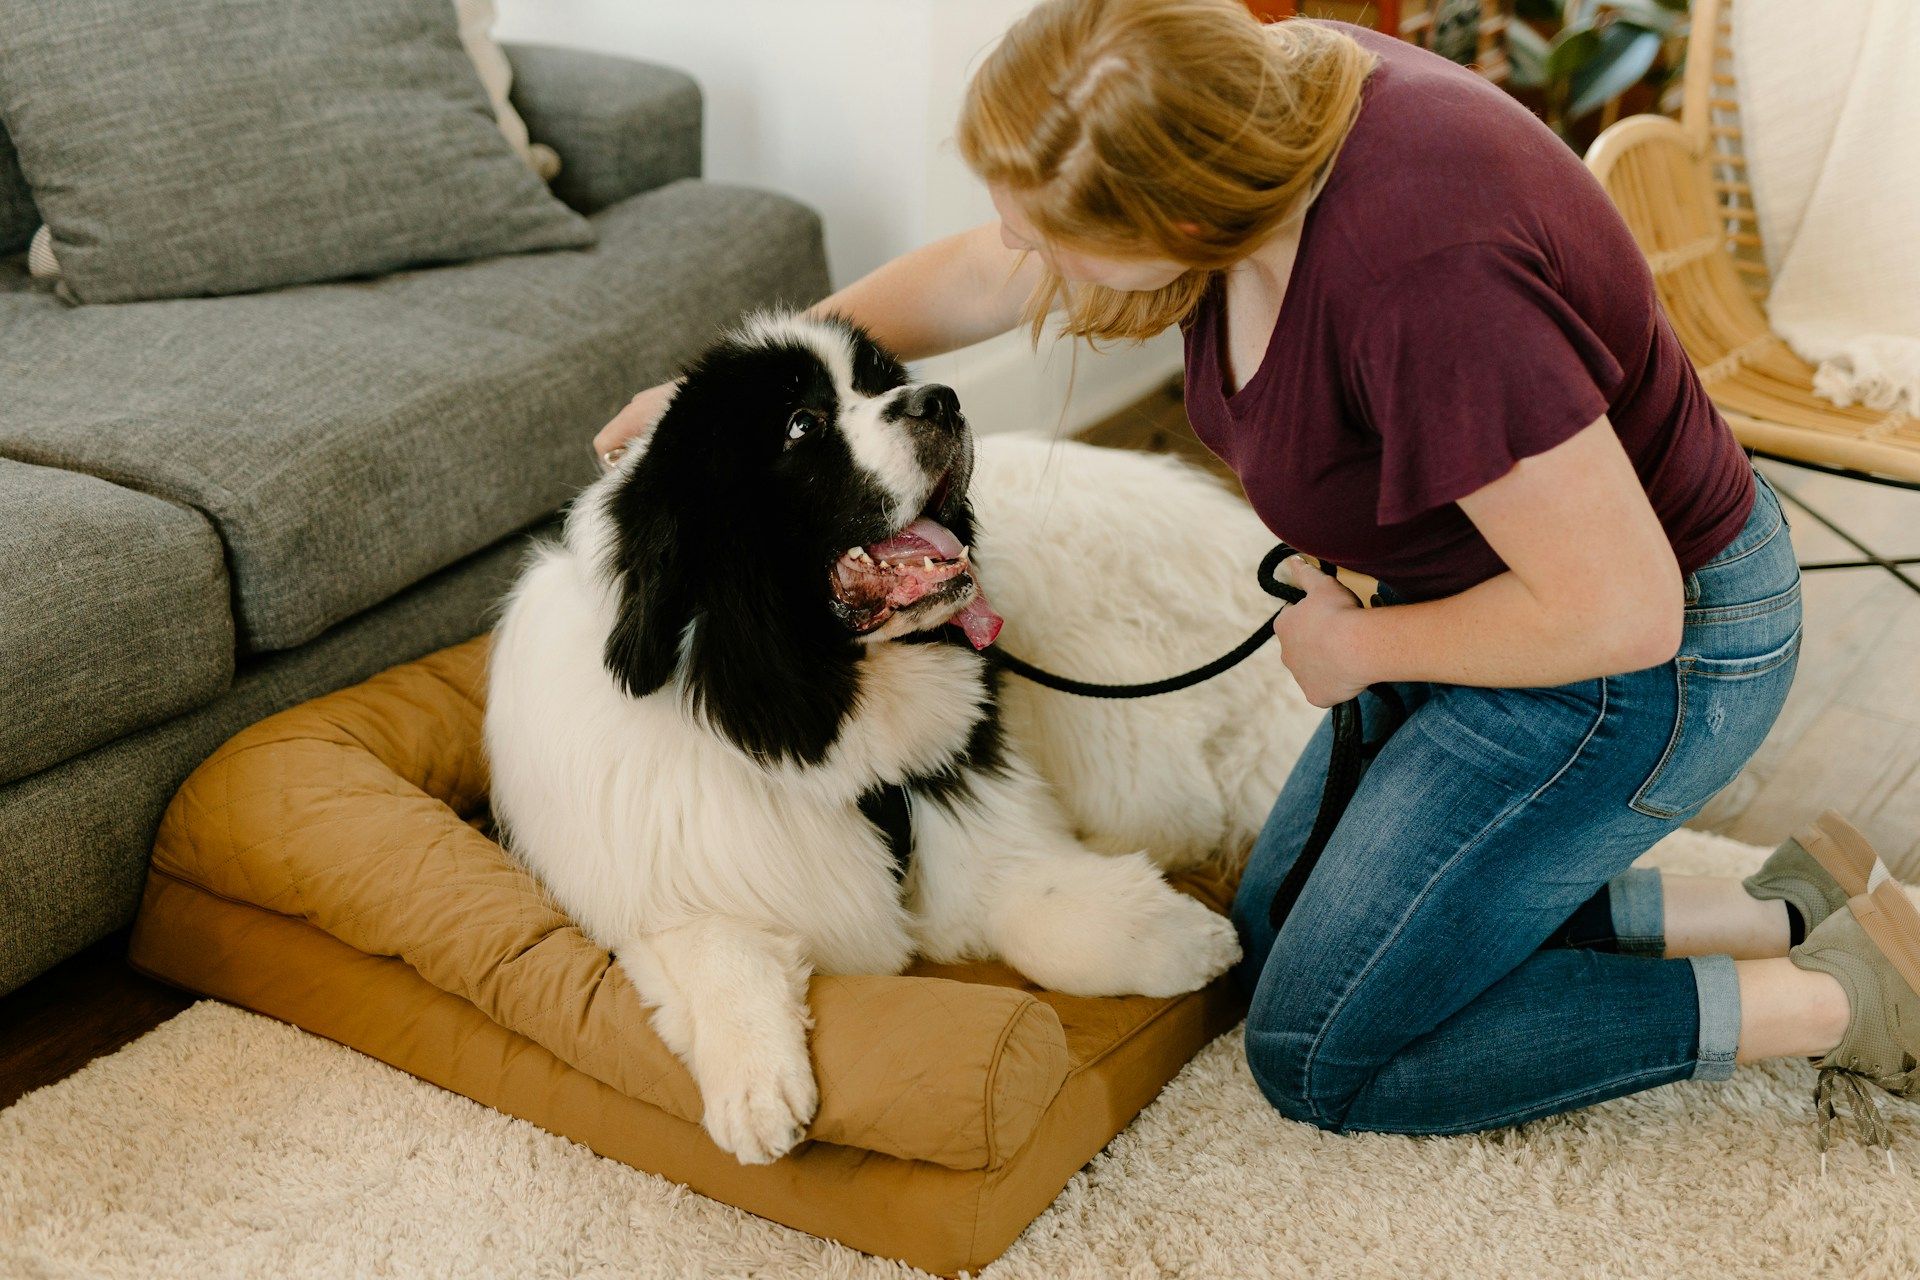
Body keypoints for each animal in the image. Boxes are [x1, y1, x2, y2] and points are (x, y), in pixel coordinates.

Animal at [487, 312, 1313, 1174]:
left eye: (880, 381)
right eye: (801, 424)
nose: (941, 399)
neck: (793, 712)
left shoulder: (972, 811)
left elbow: (1043, 912)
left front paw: (1188, 939)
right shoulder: (665, 878)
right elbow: (718, 951)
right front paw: (755, 1095)